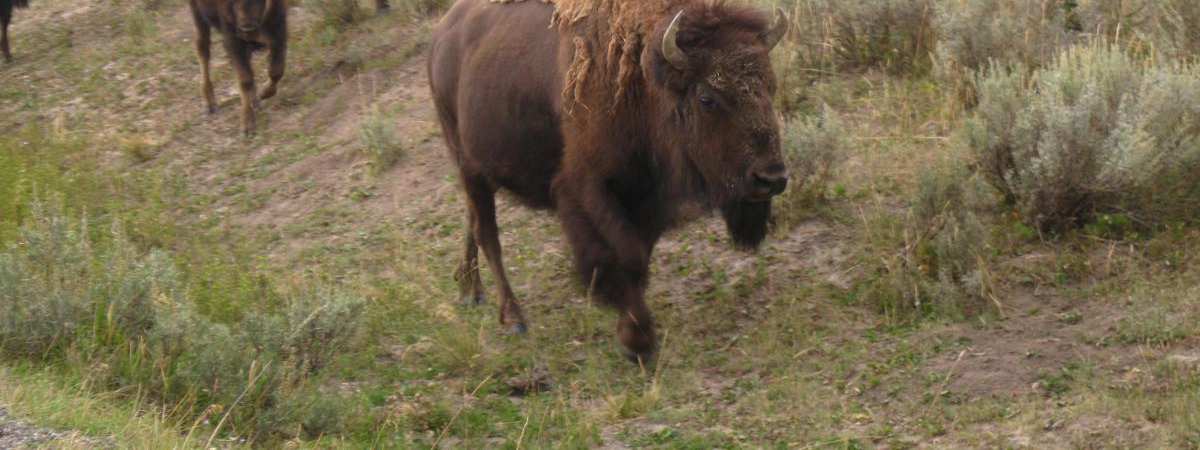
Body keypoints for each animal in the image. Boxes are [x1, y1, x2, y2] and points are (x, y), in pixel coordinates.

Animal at [189, 0, 288, 136]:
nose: (247, 25)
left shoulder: (278, 32)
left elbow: (276, 70)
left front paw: (264, 93)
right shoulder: (233, 41)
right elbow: (245, 80)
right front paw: (248, 126)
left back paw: (255, 101)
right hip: (198, 17)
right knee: (203, 50)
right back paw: (210, 105)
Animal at [429, 0, 787, 362]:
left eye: (771, 86)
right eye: (707, 98)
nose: (771, 178)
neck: (642, 85)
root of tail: (442, 34)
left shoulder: (645, 197)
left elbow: (639, 253)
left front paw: (631, 329)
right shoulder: (588, 191)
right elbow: (624, 254)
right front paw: (637, 340)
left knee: (472, 221)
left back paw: (469, 290)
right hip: (468, 164)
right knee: (488, 235)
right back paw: (514, 319)